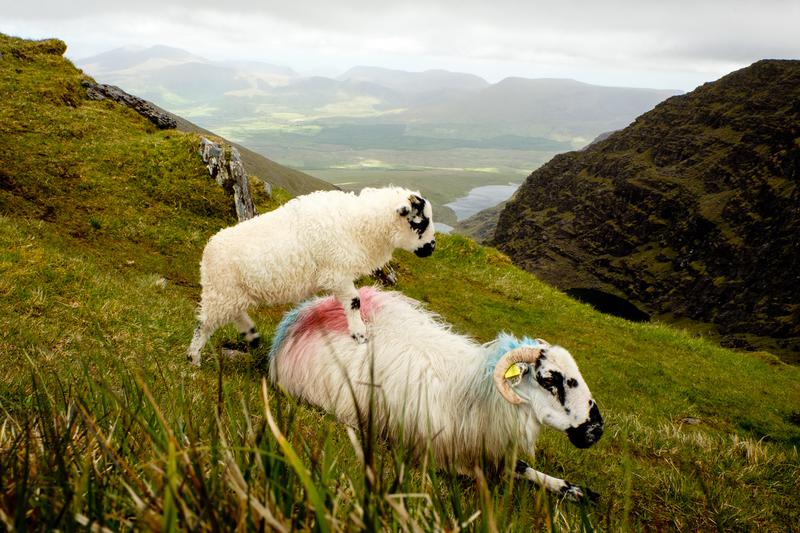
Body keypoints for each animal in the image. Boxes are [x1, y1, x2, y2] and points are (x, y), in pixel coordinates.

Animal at [188, 187, 438, 366]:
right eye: (420, 222)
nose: (432, 247)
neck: (357, 225)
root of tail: (209, 250)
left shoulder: (338, 274)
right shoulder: (337, 273)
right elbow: (354, 301)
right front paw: (360, 334)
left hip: (233, 294)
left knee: (233, 314)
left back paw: (252, 335)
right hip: (221, 293)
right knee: (204, 325)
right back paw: (193, 360)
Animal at [270, 286, 608, 498]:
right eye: (549, 380)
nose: (596, 429)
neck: (474, 392)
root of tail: (300, 315)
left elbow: (524, 469)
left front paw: (577, 490)